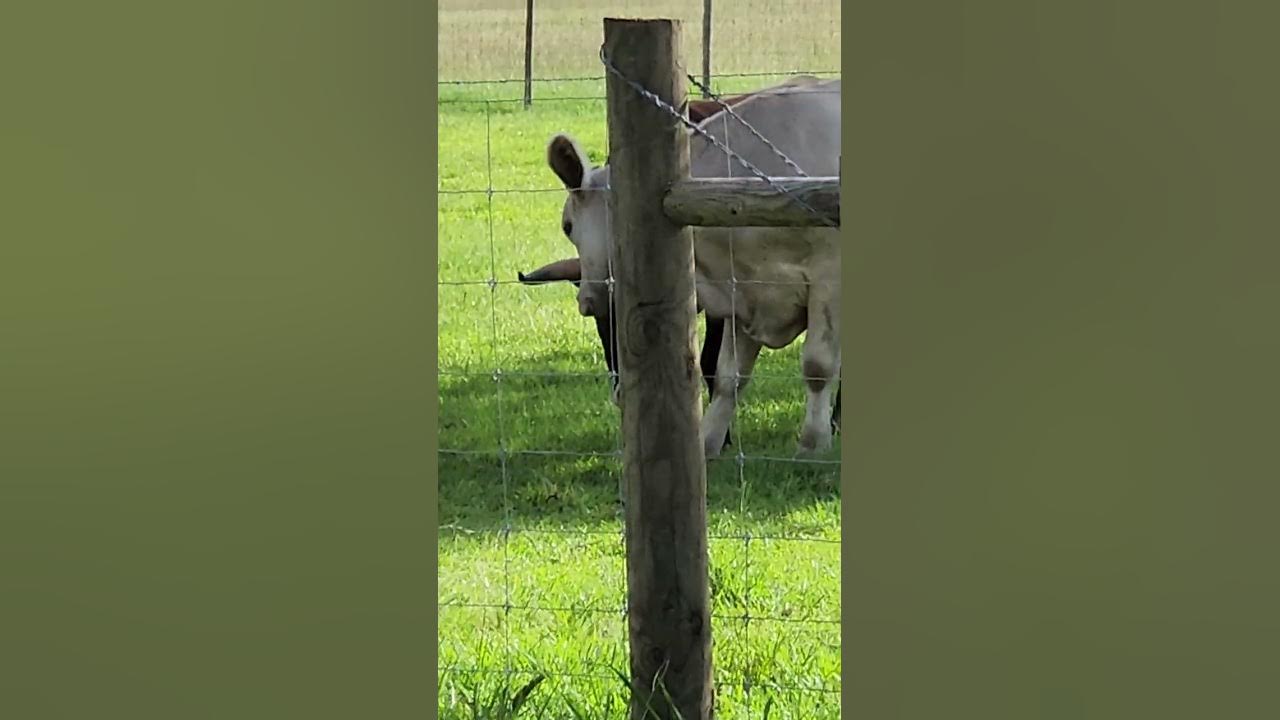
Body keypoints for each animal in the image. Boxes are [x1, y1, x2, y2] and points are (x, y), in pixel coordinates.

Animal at [522, 77, 841, 458]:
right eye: (568, 226)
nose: (590, 297)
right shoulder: (744, 290)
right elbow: (728, 376)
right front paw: (708, 441)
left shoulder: (828, 278)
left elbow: (817, 366)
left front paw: (813, 443)